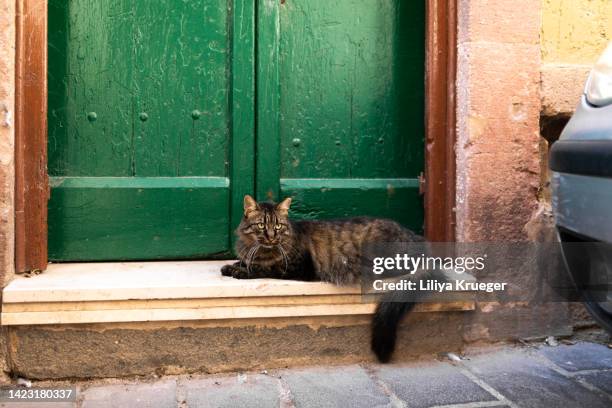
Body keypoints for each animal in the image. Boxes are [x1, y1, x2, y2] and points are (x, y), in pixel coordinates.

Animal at [222, 195, 442, 364]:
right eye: (261, 225)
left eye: (277, 227)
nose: (270, 237)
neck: (261, 249)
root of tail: (419, 240)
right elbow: (245, 261)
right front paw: (231, 266)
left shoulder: (296, 268)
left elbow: (263, 268)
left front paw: (238, 270)